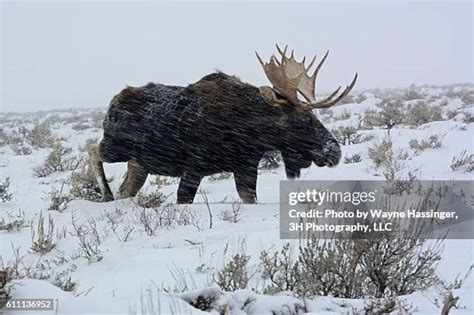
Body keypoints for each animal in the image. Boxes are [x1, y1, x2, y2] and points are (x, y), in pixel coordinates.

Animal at [88, 45, 356, 204]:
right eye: (302, 120)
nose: (334, 151)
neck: (252, 131)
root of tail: (114, 99)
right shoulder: (194, 166)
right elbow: (184, 197)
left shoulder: (246, 166)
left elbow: (249, 197)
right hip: (117, 146)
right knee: (93, 149)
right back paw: (106, 194)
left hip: (139, 164)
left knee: (126, 189)